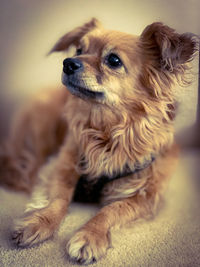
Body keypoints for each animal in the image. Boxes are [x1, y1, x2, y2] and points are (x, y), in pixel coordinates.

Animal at [0, 18, 197, 266]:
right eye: (79, 50)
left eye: (113, 60)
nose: (68, 63)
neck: (105, 131)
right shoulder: (62, 165)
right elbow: (59, 197)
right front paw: (38, 222)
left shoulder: (147, 195)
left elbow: (113, 209)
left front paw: (90, 236)